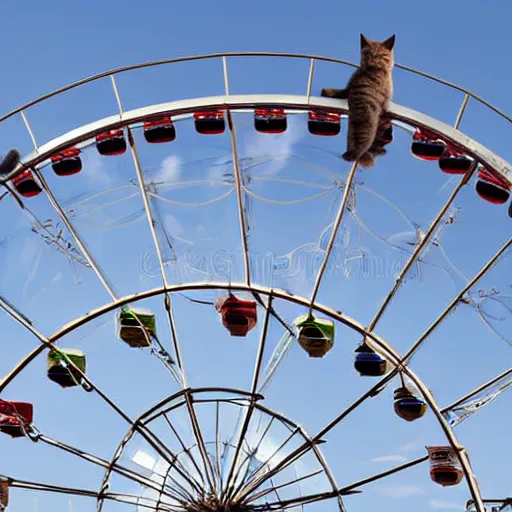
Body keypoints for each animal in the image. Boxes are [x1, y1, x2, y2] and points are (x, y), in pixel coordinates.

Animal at [320, 34, 396, 170]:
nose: (372, 60)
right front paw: (327, 91)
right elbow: (341, 91)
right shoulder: (350, 88)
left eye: (380, 55)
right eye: (367, 53)